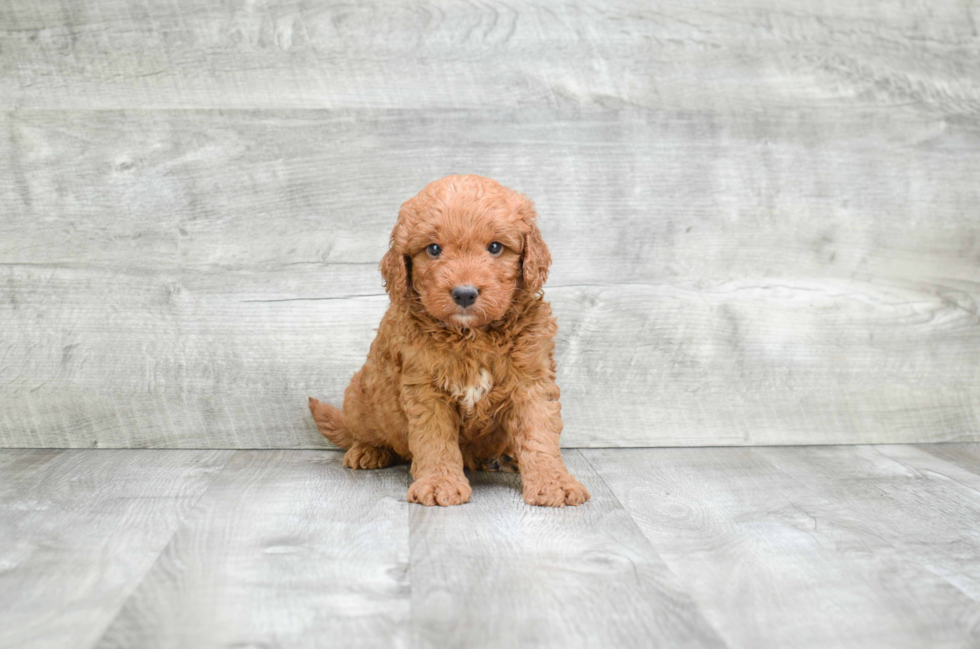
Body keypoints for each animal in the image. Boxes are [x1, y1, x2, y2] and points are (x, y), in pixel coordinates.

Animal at [310, 173, 588, 506]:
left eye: (495, 247)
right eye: (433, 249)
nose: (464, 294)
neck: (471, 335)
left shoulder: (531, 382)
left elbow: (539, 435)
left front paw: (554, 482)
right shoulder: (426, 389)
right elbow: (435, 441)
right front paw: (439, 483)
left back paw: (505, 458)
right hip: (359, 396)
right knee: (365, 432)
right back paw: (368, 450)